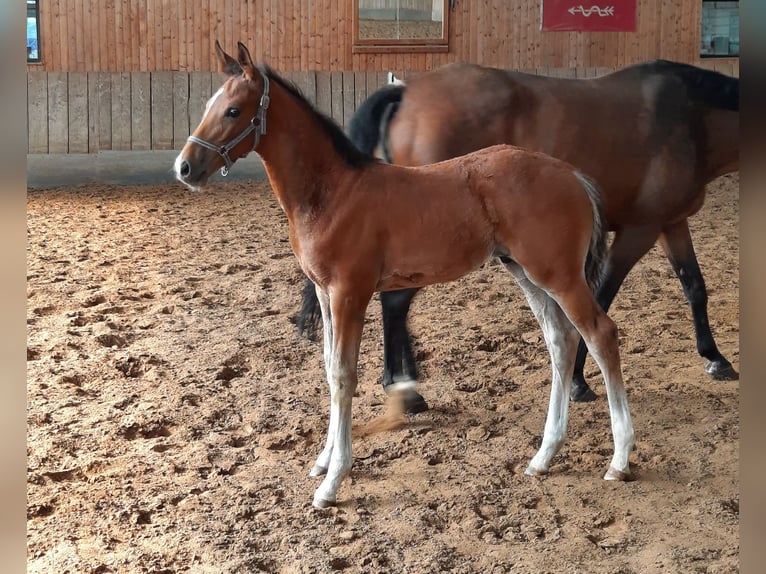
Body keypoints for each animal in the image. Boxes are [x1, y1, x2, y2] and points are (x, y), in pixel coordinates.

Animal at [174, 44, 636, 508]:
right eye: (209, 104)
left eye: (233, 110)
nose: (185, 168)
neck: (332, 194)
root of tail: (572, 175)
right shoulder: (325, 293)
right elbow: (328, 369)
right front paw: (323, 461)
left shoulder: (350, 293)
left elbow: (343, 376)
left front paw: (333, 480)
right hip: (526, 272)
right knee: (561, 341)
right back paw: (544, 456)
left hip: (559, 275)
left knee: (600, 334)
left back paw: (619, 459)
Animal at [296, 60, 740, 408]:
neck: (690, 118)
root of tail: (406, 91)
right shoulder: (639, 230)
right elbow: (602, 298)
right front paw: (578, 380)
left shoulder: (670, 223)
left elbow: (694, 286)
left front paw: (716, 357)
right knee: (395, 303)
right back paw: (404, 389)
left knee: (395, 304)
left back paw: (403, 386)